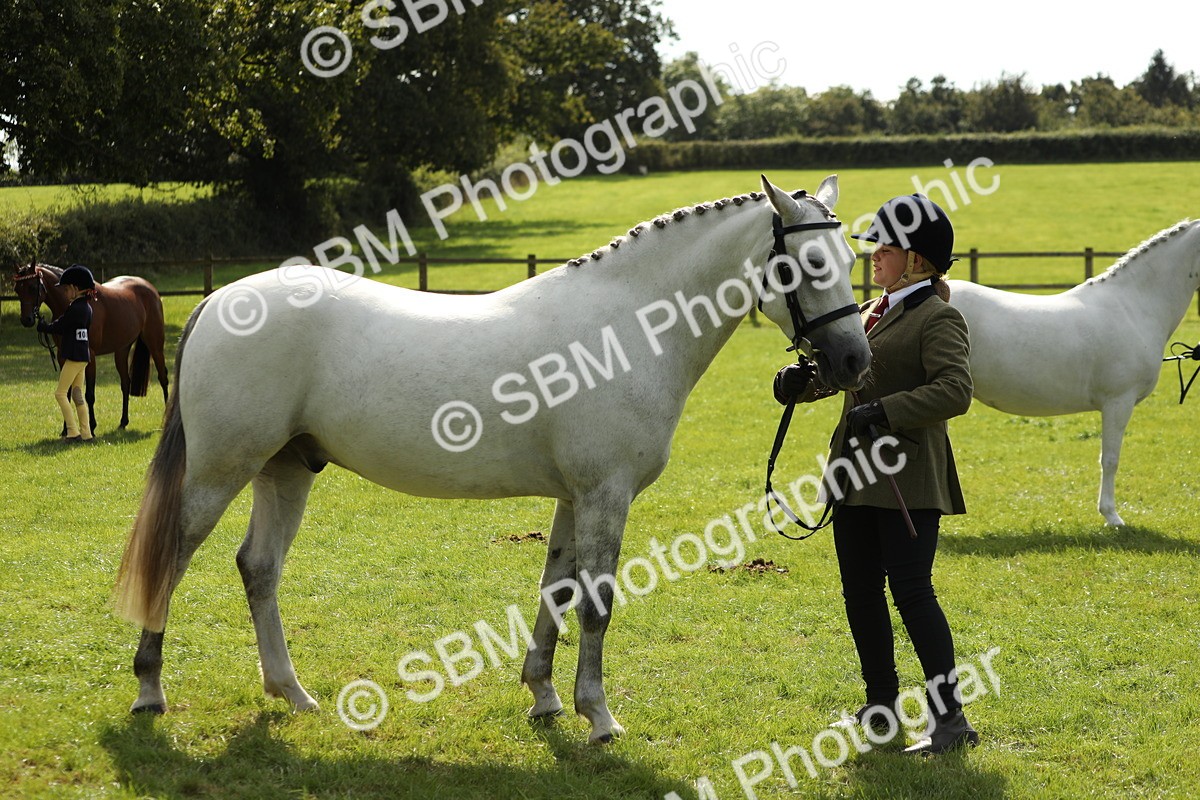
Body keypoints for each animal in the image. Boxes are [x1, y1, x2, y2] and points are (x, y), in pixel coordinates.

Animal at [12, 263, 170, 433]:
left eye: (33, 287)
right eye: (17, 289)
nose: (26, 320)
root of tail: (151, 288)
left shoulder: (90, 356)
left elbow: (89, 394)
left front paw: (92, 427)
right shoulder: (63, 356)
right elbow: (67, 391)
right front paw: (66, 430)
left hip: (155, 345)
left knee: (163, 378)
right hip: (121, 350)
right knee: (125, 383)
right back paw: (123, 422)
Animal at [114, 175, 872, 743]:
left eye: (847, 258)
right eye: (808, 264)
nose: (853, 362)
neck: (625, 326)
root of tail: (220, 298)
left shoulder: (573, 496)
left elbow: (556, 590)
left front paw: (544, 698)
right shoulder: (605, 494)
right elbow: (597, 604)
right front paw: (600, 717)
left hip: (286, 469)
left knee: (259, 567)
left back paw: (292, 693)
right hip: (220, 471)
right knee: (173, 557)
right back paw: (150, 689)